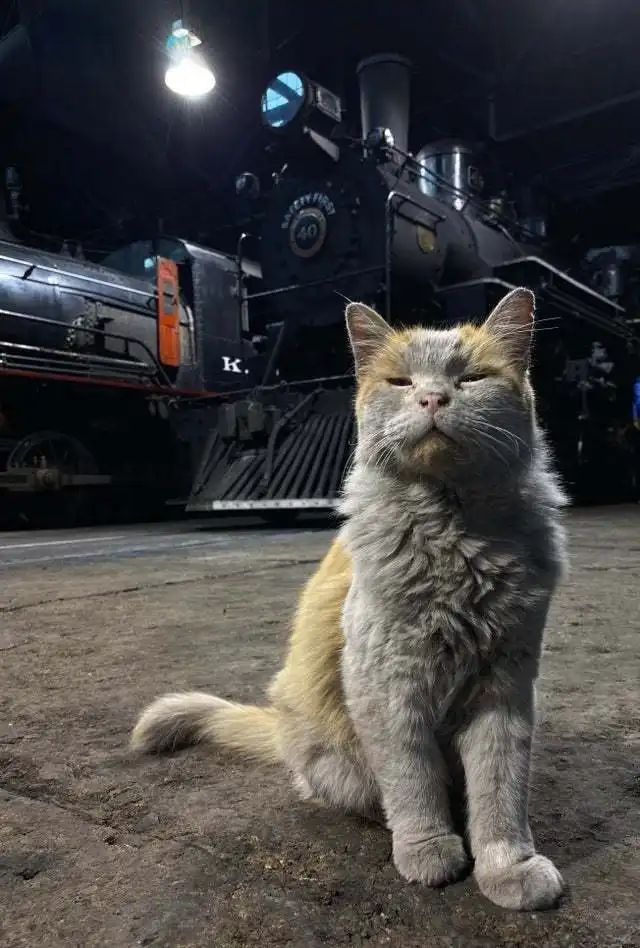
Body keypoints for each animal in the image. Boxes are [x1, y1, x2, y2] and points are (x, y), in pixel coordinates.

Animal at [130, 287, 569, 912]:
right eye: (401, 382)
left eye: (472, 378)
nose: (433, 397)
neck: (454, 539)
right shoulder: (388, 686)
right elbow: (413, 781)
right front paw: (428, 850)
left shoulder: (505, 687)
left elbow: (500, 792)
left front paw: (508, 867)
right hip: (339, 758)